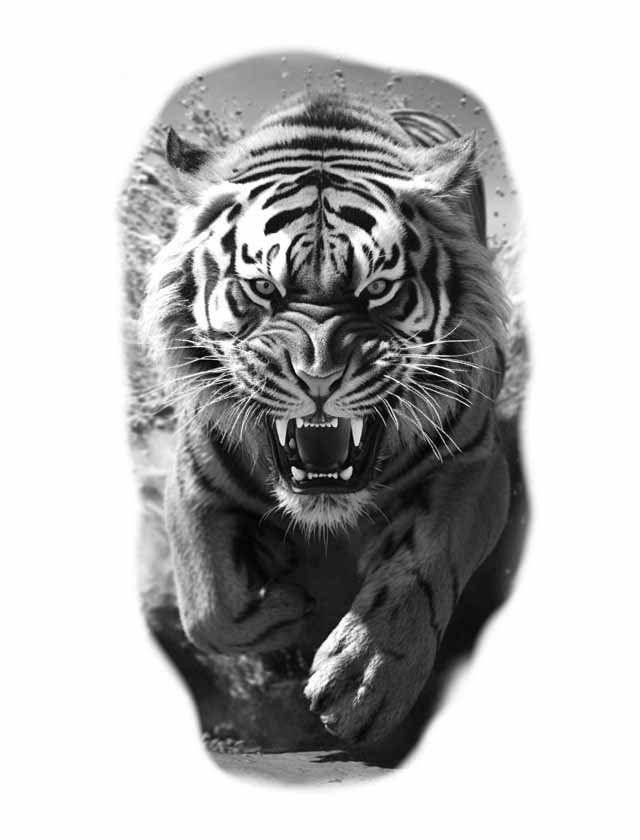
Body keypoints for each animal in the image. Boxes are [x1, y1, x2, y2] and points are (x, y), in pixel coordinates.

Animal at [140, 91, 512, 746]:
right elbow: (207, 608)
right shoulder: (192, 481)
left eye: (379, 289)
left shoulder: (477, 463)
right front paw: (288, 608)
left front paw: (369, 678)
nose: (318, 377)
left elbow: (426, 562)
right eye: (261, 289)